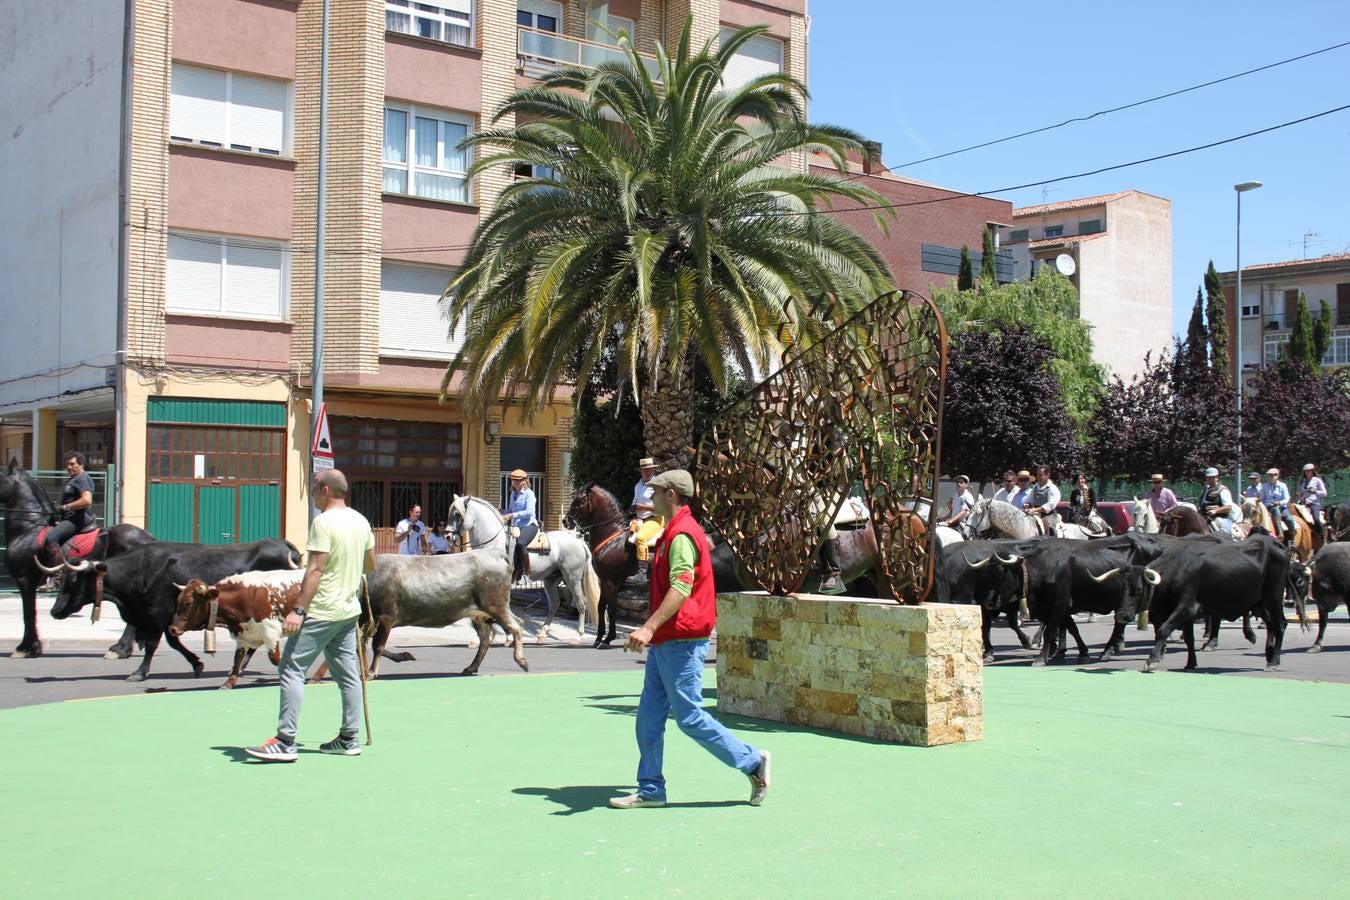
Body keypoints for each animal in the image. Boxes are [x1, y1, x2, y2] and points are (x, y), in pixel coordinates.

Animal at [1, 461, 151, 658]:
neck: (28, 529)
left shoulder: (25, 579)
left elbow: (28, 614)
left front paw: (25, 648)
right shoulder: (28, 582)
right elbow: (30, 613)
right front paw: (31, 647)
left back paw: (118, 649)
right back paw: (122, 649)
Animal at [51, 539, 299, 680]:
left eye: (73, 580)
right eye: (62, 580)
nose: (54, 611)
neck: (140, 570)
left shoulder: (158, 615)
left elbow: (155, 644)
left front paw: (139, 672)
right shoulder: (165, 617)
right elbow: (171, 641)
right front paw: (197, 664)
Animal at [167, 569, 305, 690]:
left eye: (189, 603)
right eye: (178, 601)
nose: (172, 629)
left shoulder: (270, 633)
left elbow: (276, 659)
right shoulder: (242, 636)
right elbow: (237, 659)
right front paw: (228, 683)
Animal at [1139, 534, 1296, 674]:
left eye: (1138, 589)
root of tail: (1276, 544)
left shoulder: (1186, 607)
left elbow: (1163, 630)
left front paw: (1151, 661)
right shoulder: (1184, 615)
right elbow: (1189, 638)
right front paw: (1190, 664)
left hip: (1274, 598)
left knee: (1280, 624)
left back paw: (1273, 662)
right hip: (1259, 603)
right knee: (1270, 624)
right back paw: (1268, 655)